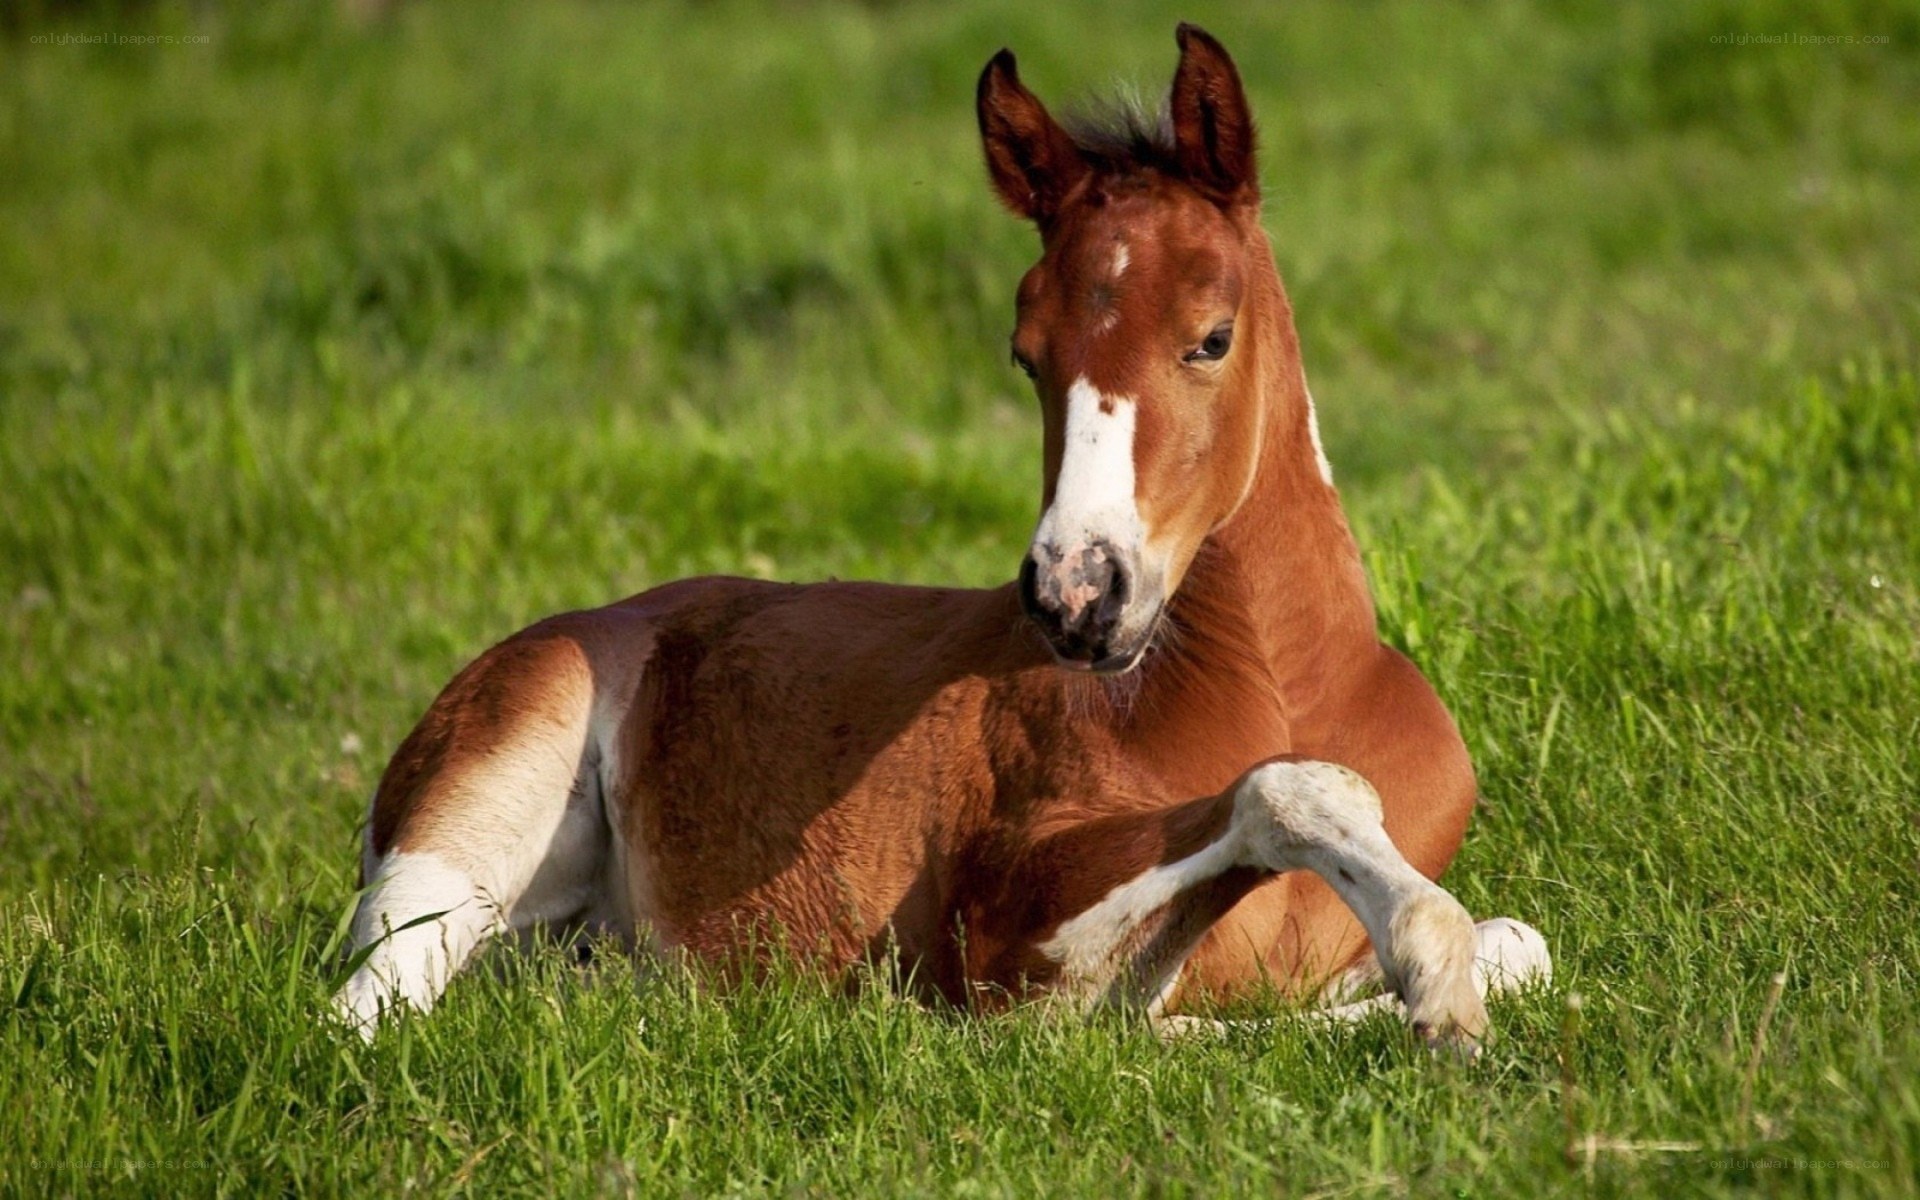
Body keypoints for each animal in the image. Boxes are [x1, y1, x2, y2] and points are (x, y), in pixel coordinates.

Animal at [334, 24, 1549, 1048]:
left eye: (1212, 336)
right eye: (1026, 354)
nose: (1076, 594)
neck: (1287, 686)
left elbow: (1522, 945)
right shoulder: (1001, 930)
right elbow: (1277, 807)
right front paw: (1432, 979)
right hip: (475, 808)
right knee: (365, 1008)